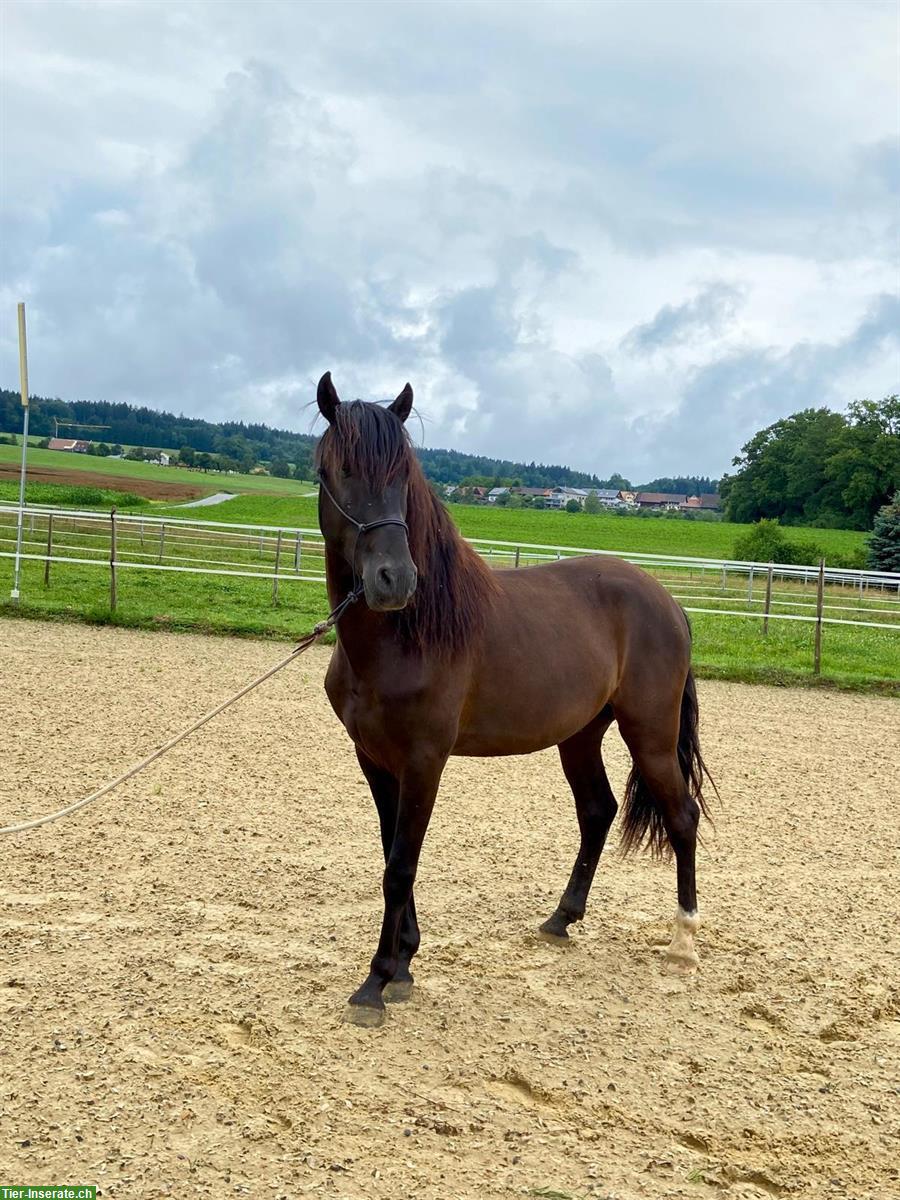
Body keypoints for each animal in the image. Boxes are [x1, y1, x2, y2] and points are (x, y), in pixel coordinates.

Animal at [314, 372, 715, 1022]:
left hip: (649, 735)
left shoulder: (424, 760)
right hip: (581, 736)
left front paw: (376, 982)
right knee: (597, 811)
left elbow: (401, 865)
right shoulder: (373, 758)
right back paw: (561, 919)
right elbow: (391, 854)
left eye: (404, 473)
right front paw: (404, 962)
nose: (394, 581)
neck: (405, 635)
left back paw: (682, 944)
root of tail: (666, 600)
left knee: (682, 816)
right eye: (338, 469)